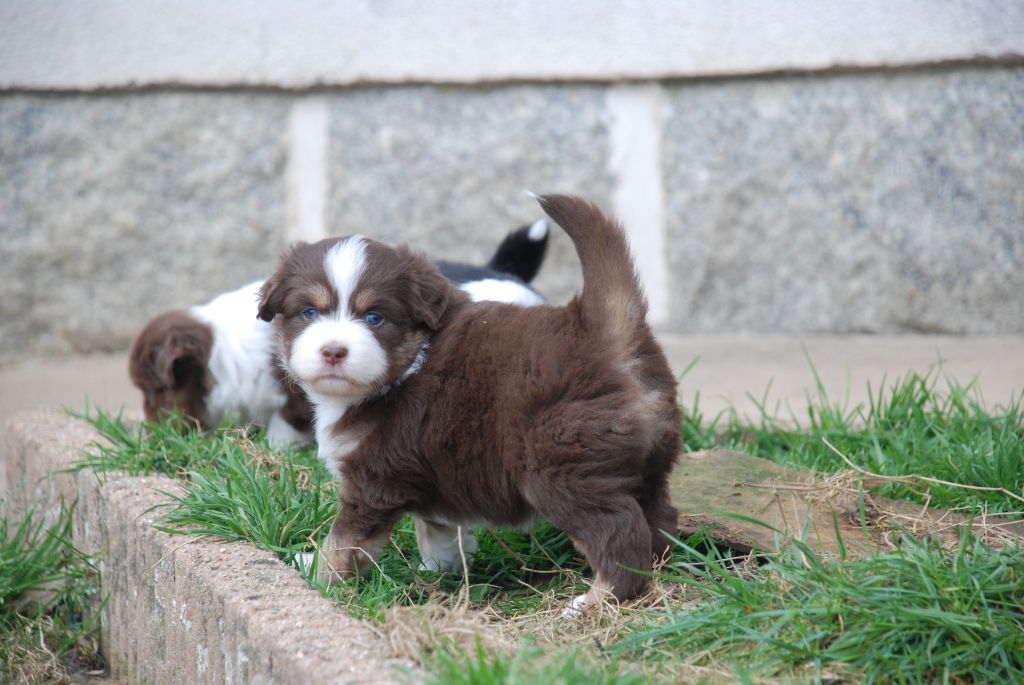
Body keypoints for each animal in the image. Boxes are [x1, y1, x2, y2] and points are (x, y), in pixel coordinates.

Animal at [258, 194, 679, 610]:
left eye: (374, 318)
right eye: (310, 312)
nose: (333, 351)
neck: (407, 365)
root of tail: (602, 332)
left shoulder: (373, 482)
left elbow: (343, 541)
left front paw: (318, 575)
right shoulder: (426, 472)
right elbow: (437, 530)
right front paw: (439, 571)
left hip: (563, 469)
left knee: (618, 532)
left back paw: (595, 599)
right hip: (647, 467)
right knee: (658, 520)